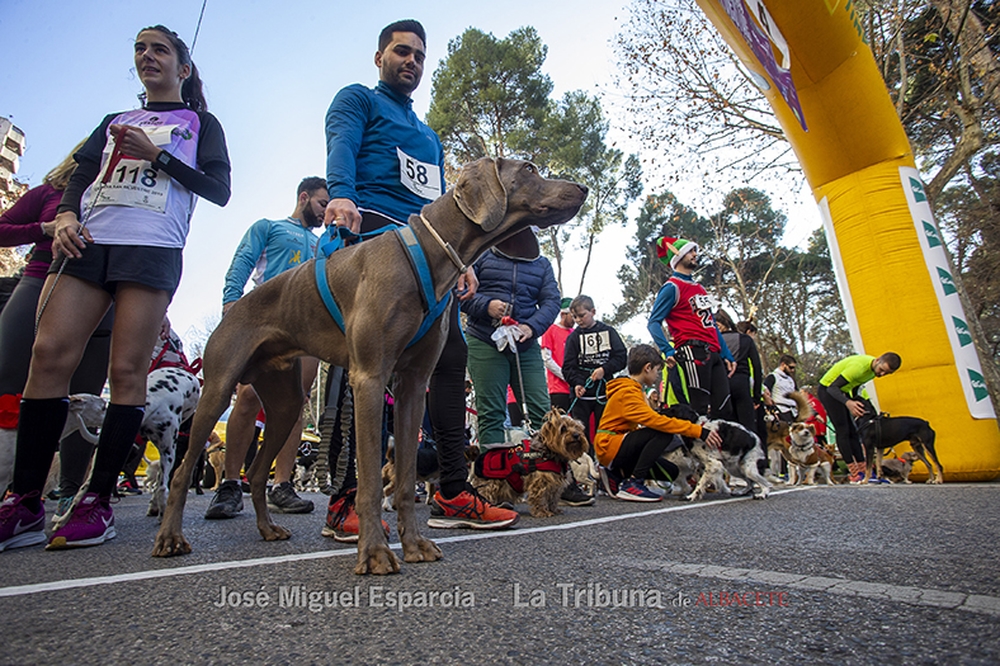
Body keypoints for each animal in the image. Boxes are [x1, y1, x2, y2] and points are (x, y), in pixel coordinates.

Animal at [149, 158, 584, 572]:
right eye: (529, 168)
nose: (581, 188)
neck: (427, 253)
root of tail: (235, 306)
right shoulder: (370, 379)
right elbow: (372, 483)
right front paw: (374, 551)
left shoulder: (413, 387)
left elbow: (405, 481)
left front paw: (414, 545)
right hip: (219, 390)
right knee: (181, 473)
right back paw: (170, 537)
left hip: (286, 404)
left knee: (257, 473)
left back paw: (268, 528)